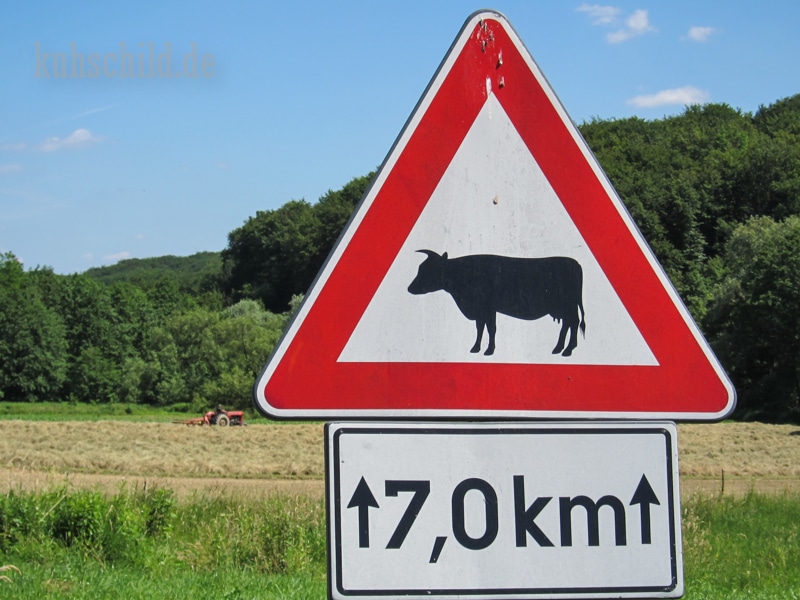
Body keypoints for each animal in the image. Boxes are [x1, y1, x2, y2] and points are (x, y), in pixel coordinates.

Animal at [408, 250, 586, 357]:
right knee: (568, 324)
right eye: (420, 268)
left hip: (569, 306)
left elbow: (490, 328)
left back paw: (568, 349)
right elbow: (481, 328)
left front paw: (488, 350)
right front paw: (476, 348)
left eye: (428, 269)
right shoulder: (482, 311)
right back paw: (559, 348)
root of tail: (575, 264)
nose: (410, 288)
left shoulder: (487, 308)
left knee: (573, 323)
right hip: (564, 308)